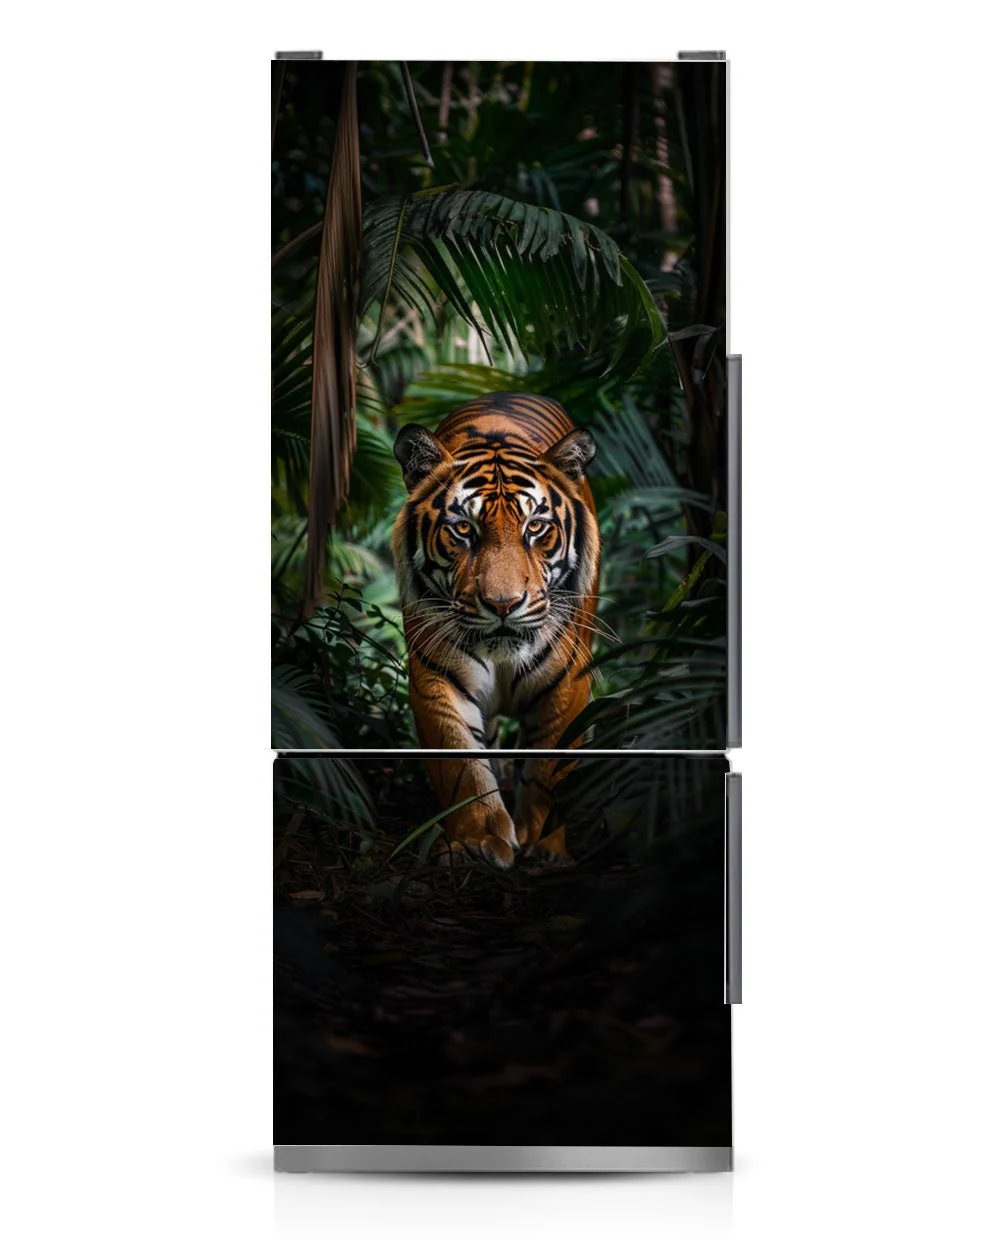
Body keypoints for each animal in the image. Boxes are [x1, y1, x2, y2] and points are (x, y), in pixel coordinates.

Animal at [391, 391, 600, 871]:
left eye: (535, 527)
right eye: (463, 528)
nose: (504, 605)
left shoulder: (569, 685)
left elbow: (547, 772)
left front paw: (542, 844)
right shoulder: (436, 679)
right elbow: (462, 766)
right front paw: (480, 841)